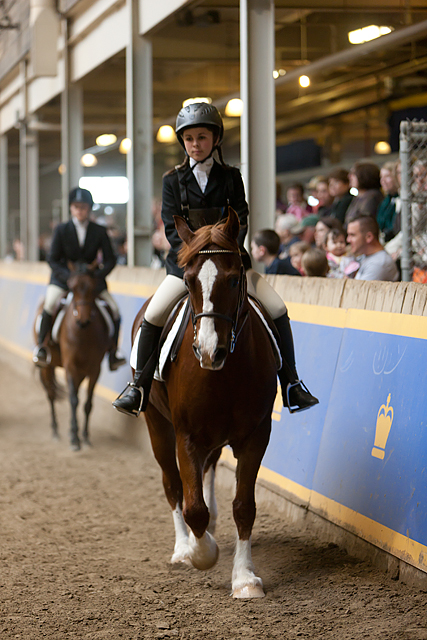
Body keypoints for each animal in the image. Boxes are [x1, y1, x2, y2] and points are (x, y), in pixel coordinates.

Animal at [35, 260, 111, 450]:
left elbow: (87, 403)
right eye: (71, 287)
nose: (82, 321)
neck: (83, 333)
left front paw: (84, 436)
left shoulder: (94, 369)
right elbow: (73, 400)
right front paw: (75, 439)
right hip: (47, 366)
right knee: (51, 394)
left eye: (92, 287)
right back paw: (55, 430)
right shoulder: (70, 366)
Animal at [135, 210, 280, 600]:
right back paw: (182, 547)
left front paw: (245, 578)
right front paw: (202, 553)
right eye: (188, 281)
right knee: (173, 485)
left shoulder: (255, 436)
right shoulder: (186, 436)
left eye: (233, 280)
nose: (210, 352)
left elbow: (243, 507)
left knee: (208, 471)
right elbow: (193, 507)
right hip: (157, 426)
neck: (224, 373)